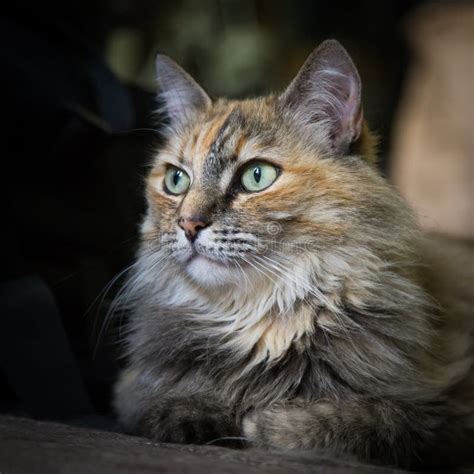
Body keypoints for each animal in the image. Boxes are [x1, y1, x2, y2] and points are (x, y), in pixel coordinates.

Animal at [113, 39, 472, 466]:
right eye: (176, 180)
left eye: (257, 176)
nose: (188, 224)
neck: (261, 319)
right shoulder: (132, 388)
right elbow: (158, 402)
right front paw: (194, 413)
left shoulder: (445, 412)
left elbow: (369, 419)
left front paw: (264, 424)